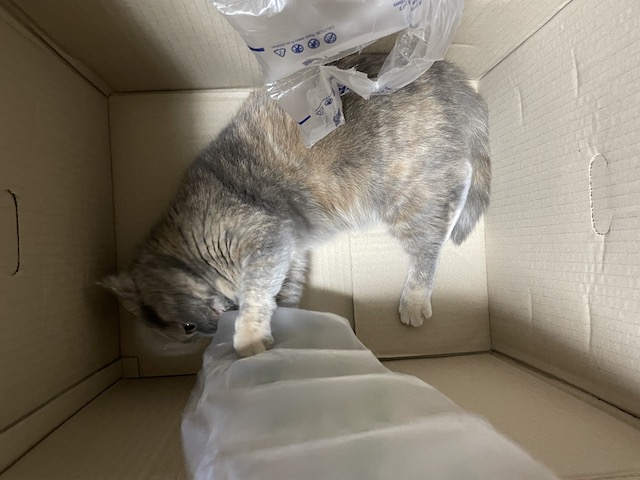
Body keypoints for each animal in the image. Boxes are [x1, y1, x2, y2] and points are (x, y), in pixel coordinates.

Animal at [100, 54, 490, 357]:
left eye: (187, 327)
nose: (213, 330)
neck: (189, 237)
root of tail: (445, 75)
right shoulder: (289, 251)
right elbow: (280, 292)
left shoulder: (263, 239)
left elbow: (255, 292)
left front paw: (248, 337)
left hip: (405, 196)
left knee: (432, 242)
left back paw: (414, 301)